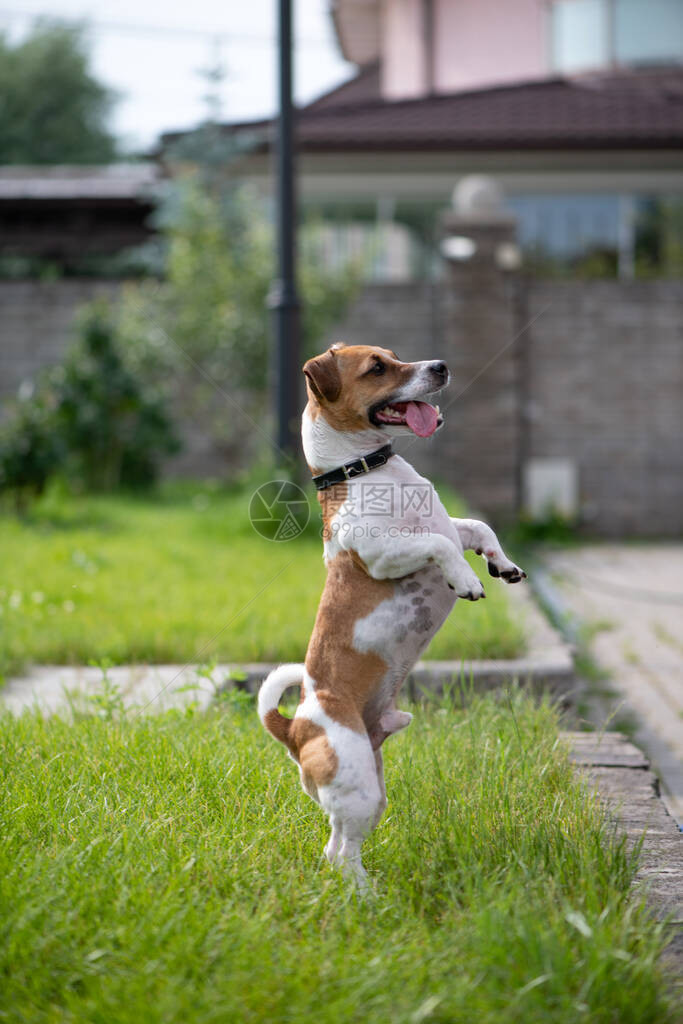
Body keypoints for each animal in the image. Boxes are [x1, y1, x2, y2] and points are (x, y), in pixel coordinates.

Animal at [259, 346, 528, 888]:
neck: (365, 471)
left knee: (336, 847)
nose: (442, 366)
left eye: (395, 355)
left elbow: (474, 527)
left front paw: (501, 564)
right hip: (359, 783)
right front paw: (466, 579)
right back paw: (368, 899)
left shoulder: (457, 525)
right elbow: (442, 544)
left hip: (371, 790)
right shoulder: (383, 554)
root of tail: (294, 728)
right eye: (377, 367)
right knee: (341, 853)